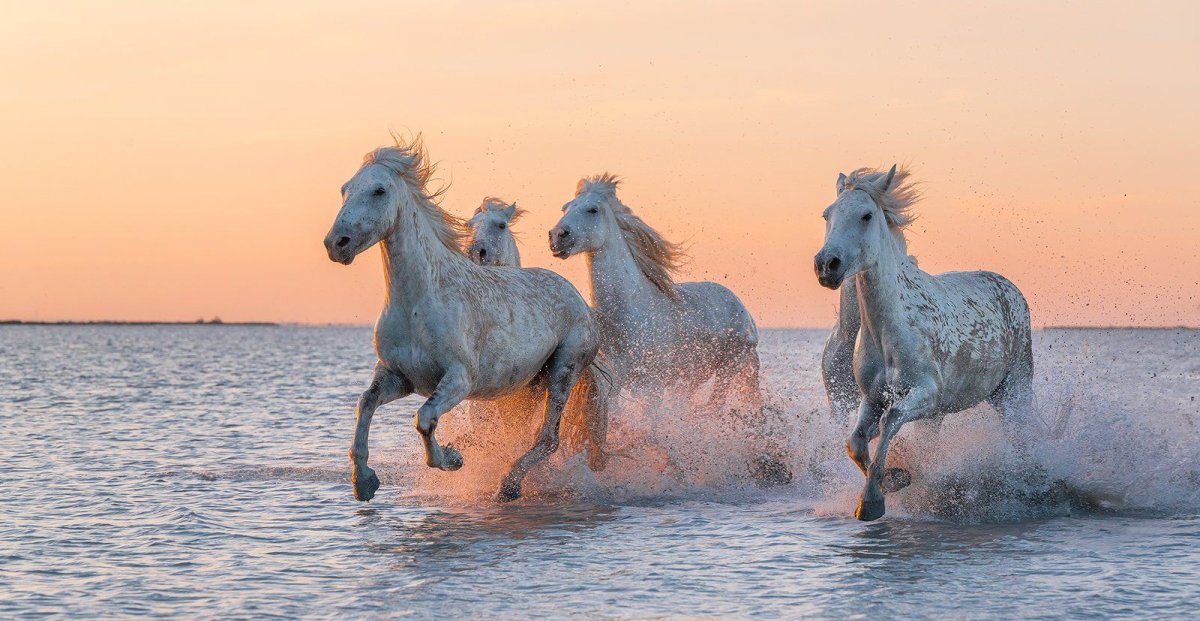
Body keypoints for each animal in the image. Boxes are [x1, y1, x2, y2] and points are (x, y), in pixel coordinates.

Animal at [323, 136, 601, 502]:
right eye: (345, 189)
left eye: (379, 190)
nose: (336, 244)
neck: (420, 300)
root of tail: (578, 298)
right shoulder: (398, 377)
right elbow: (364, 404)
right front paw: (364, 481)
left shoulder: (459, 379)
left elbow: (424, 418)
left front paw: (453, 459)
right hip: (526, 387)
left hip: (563, 370)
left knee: (548, 439)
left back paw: (509, 486)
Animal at [549, 174, 791, 485]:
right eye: (565, 207)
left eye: (592, 209)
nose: (557, 237)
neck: (630, 316)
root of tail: (741, 309)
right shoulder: (614, 385)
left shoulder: (651, 389)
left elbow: (648, 431)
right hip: (688, 380)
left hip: (730, 370)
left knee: (714, 412)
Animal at [813, 165, 1035, 521]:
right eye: (827, 214)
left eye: (866, 215)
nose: (826, 265)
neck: (891, 329)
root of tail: (1008, 286)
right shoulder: (871, 398)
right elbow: (856, 442)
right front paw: (896, 479)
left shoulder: (925, 395)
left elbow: (890, 421)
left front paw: (871, 501)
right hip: (949, 413)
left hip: (1014, 390)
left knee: (1024, 437)